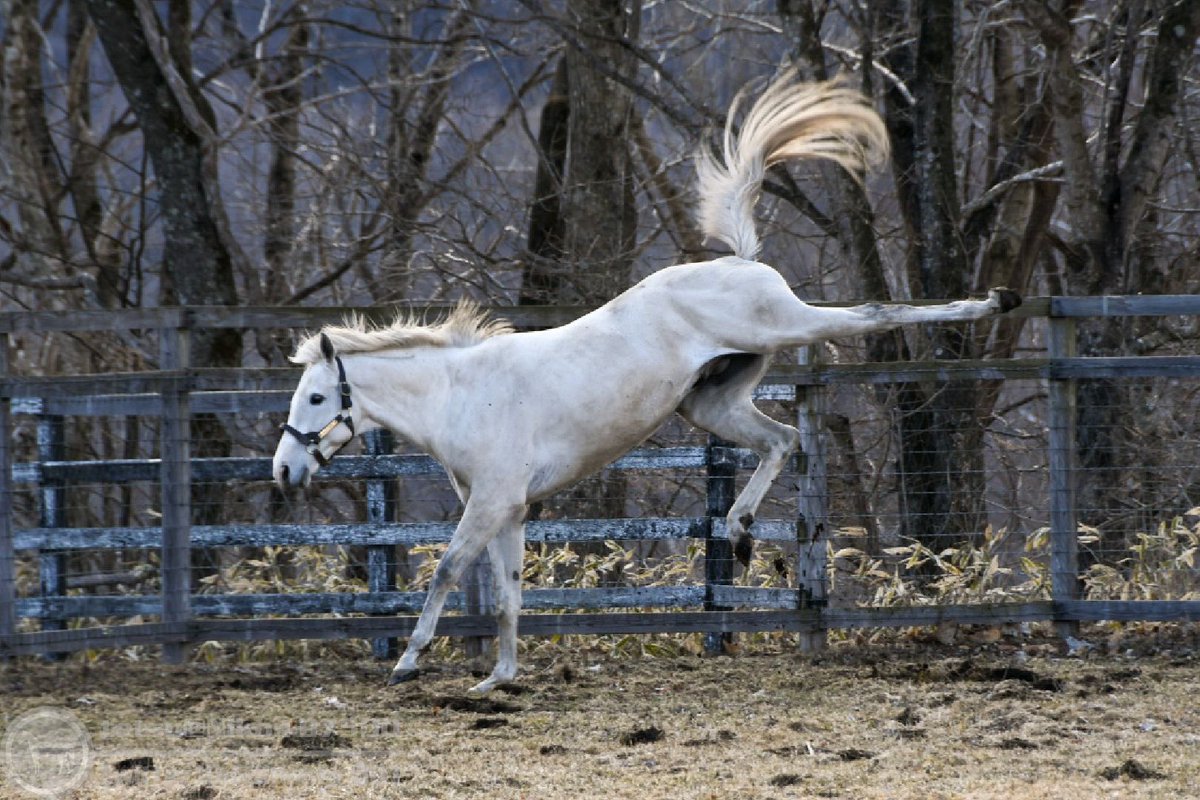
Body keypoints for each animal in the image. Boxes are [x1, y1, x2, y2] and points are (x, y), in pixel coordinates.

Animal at [274, 71, 1022, 690]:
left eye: (316, 396)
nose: (283, 472)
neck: (462, 394)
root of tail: (738, 259)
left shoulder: (489, 504)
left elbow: (446, 571)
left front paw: (409, 659)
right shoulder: (509, 509)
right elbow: (510, 588)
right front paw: (499, 679)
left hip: (783, 327)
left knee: (868, 316)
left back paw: (991, 302)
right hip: (712, 401)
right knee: (781, 440)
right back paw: (739, 533)